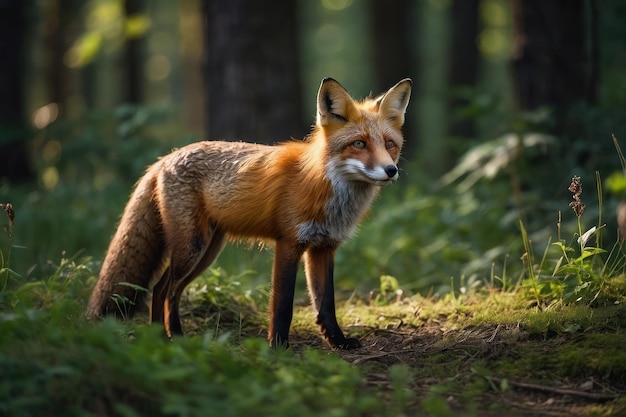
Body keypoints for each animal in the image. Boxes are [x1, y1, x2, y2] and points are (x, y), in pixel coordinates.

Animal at [86, 79, 410, 348]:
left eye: (389, 145)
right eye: (359, 144)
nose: (391, 171)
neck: (323, 186)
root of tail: (165, 157)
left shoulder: (324, 248)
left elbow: (326, 304)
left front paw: (338, 343)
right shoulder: (288, 243)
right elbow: (283, 304)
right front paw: (278, 347)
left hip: (207, 251)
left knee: (166, 290)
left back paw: (166, 338)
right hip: (191, 247)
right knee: (163, 288)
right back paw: (167, 337)